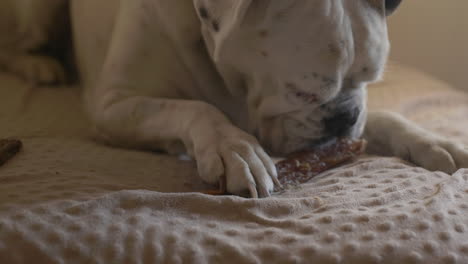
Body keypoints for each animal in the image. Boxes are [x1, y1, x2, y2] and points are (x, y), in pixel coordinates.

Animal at [0, 0, 468, 198]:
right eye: (302, 91)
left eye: (371, 78)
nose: (344, 117)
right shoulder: (115, 105)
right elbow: (196, 108)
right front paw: (234, 149)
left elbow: (385, 117)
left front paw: (430, 140)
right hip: (37, 11)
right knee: (15, 44)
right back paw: (40, 65)